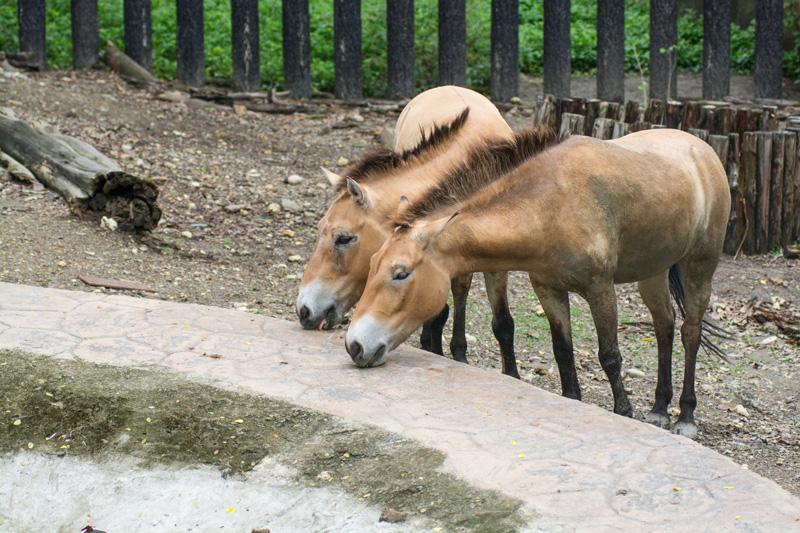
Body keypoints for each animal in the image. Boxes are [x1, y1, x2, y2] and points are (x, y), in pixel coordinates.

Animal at [294, 85, 520, 372]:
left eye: (344, 238)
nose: (304, 310)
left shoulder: (496, 260)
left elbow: (502, 323)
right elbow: (436, 312)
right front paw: (435, 350)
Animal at [346, 127, 736, 434]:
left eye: (401, 272)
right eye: (373, 263)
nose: (354, 345)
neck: (549, 205)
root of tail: (702, 150)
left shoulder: (600, 288)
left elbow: (609, 355)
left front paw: (623, 412)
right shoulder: (547, 288)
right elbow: (562, 350)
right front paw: (572, 399)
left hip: (700, 266)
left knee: (690, 333)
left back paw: (685, 416)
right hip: (653, 271)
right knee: (664, 326)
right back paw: (658, 408)